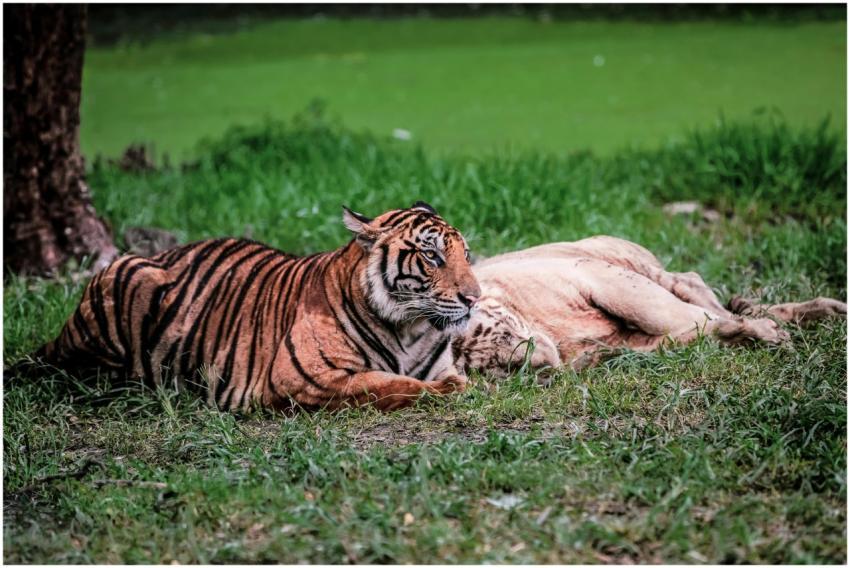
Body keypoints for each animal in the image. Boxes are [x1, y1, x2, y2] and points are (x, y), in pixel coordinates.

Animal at [28, 202, 482, 412]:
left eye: (465, 254)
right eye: (432, 256)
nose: (474, 299)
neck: (409, 328)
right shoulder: (304, 378)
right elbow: (389, 384)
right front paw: (452, 390)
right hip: (126, 279)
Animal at [453, 236, 846, 377]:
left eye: (505, 336)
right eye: (497, 367)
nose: (541, 366)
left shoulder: (597, 276)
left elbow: (671, 315)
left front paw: (766, 333)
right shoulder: (621, 342)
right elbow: (688, 333)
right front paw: (745, 333)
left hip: (620, 259)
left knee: (690, 281)